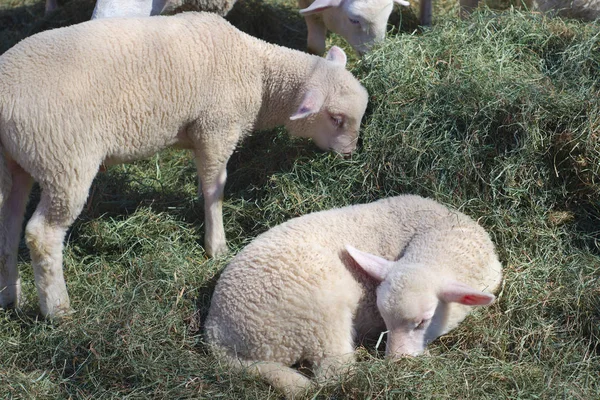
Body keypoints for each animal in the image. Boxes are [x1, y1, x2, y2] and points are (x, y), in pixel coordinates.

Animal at [0, 10, 366, 318]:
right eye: (335, 118)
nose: (350, 154)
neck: (259, 74)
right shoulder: (216, 129)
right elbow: (215, 189)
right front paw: (216, 245)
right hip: (64, 160)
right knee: (42, 235)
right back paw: (58, 310)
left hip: (15, 164)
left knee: (9, 226)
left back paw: (10, 297)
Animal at [204, 195, 504, 396]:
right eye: (384, 318)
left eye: (422, 321)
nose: (396, 363)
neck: (440, 235)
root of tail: (216, 335)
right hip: (317, 313)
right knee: (334, 374)